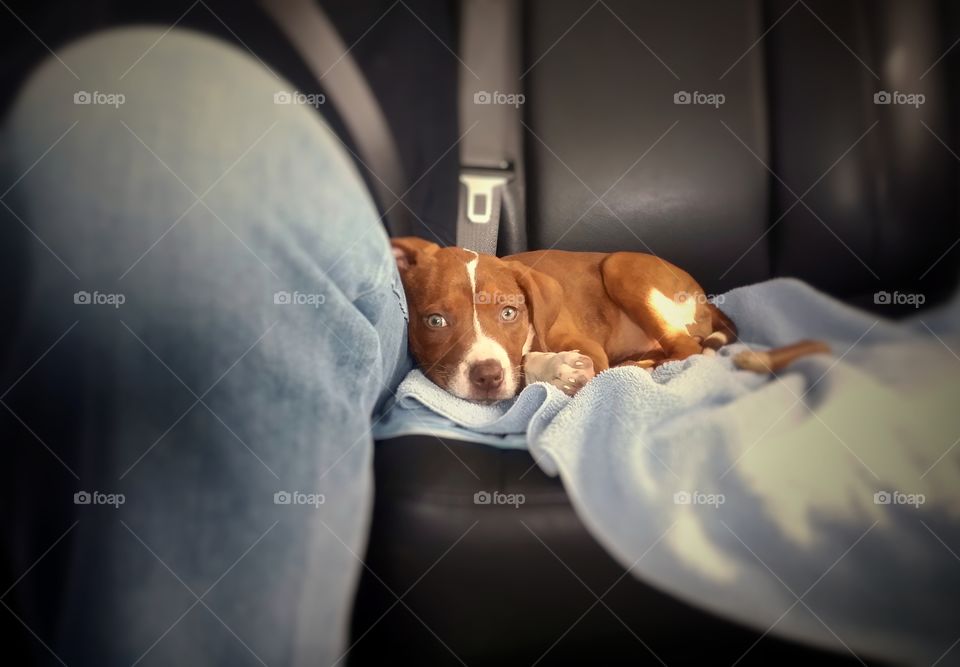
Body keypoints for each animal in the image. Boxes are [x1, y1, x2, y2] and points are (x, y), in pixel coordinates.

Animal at [394, 239, 828, 402]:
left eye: (508, 313)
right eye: (435, 321)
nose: (487, 377)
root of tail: (704, 298)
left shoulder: (586, 346)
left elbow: (529, 360)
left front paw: (556, 368)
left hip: (621, 266)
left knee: (688, 349)